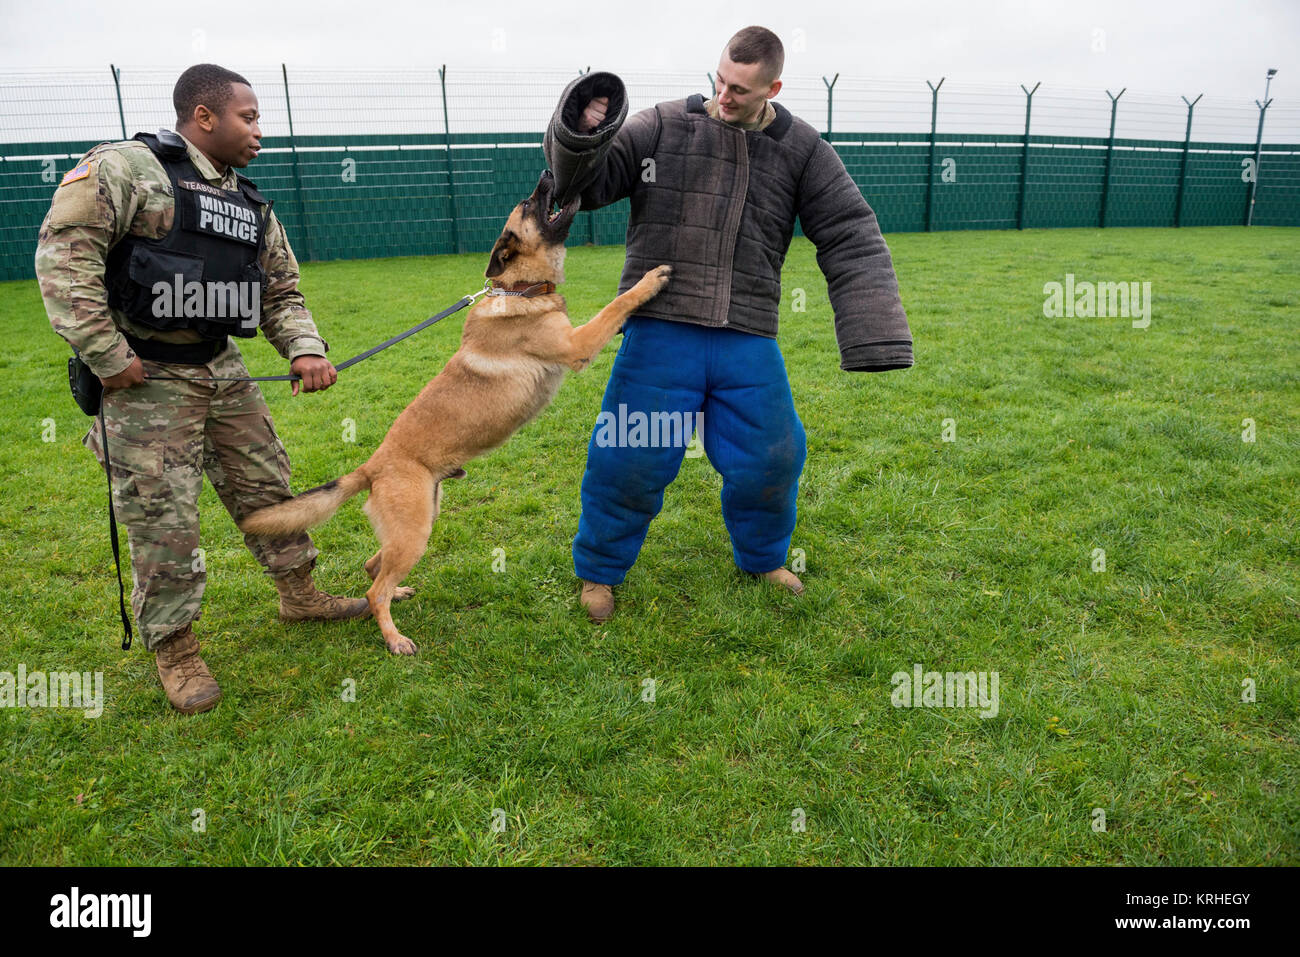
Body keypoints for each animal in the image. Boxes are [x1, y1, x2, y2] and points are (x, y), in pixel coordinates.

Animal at [239, 170, 676, 650]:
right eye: (528, 204)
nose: (548, 174)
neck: (518, 288)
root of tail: (372, 466)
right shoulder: (578, 344)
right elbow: (617, 304)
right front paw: (652, 279)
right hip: (415, 533)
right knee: (375, 590)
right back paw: (394, 638)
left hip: (421, 521)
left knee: (375, 568)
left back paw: (400, 595)